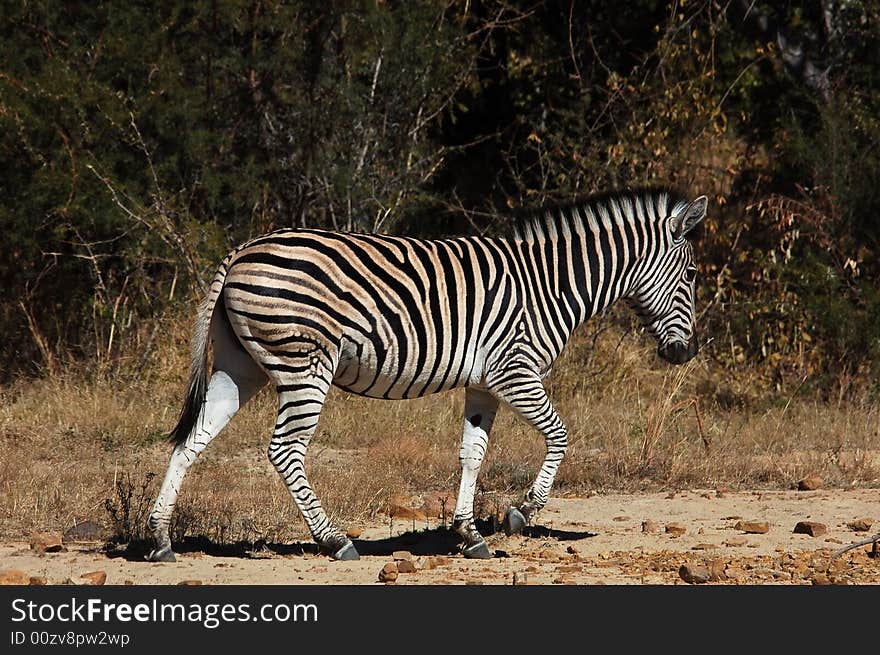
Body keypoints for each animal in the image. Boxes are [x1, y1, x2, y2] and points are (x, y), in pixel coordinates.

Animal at [146, 187, 708, 560]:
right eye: (692, 274)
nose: (686, 355)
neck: (551, 283)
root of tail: (242, 250)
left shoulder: (484, 384)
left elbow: (472, 454)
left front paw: (469, 535)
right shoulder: (514, 370)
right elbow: (560, 436)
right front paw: (523, 512)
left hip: (241, 367)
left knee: (191, 441)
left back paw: (160, 539)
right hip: (304, 364)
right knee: (285, 450)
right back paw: (336, 541)